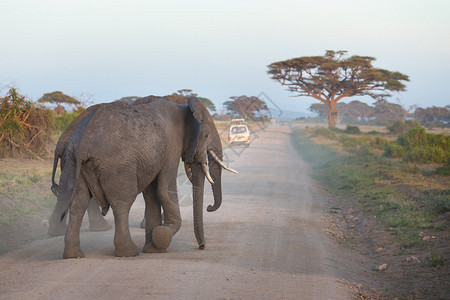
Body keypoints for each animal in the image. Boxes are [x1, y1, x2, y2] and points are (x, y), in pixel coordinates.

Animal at [59, 96, 236, 258]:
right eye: (206, 135)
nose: (201, 246)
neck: (185, 109)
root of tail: (83, 144)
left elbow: (152, 196)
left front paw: (154, 249)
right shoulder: (171, 147)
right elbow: (165, 190)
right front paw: (162, 236)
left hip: (71, 162)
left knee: (78, 203)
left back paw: (73, 255)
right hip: (117, 165)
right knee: (122, 203)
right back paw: (128, 252)